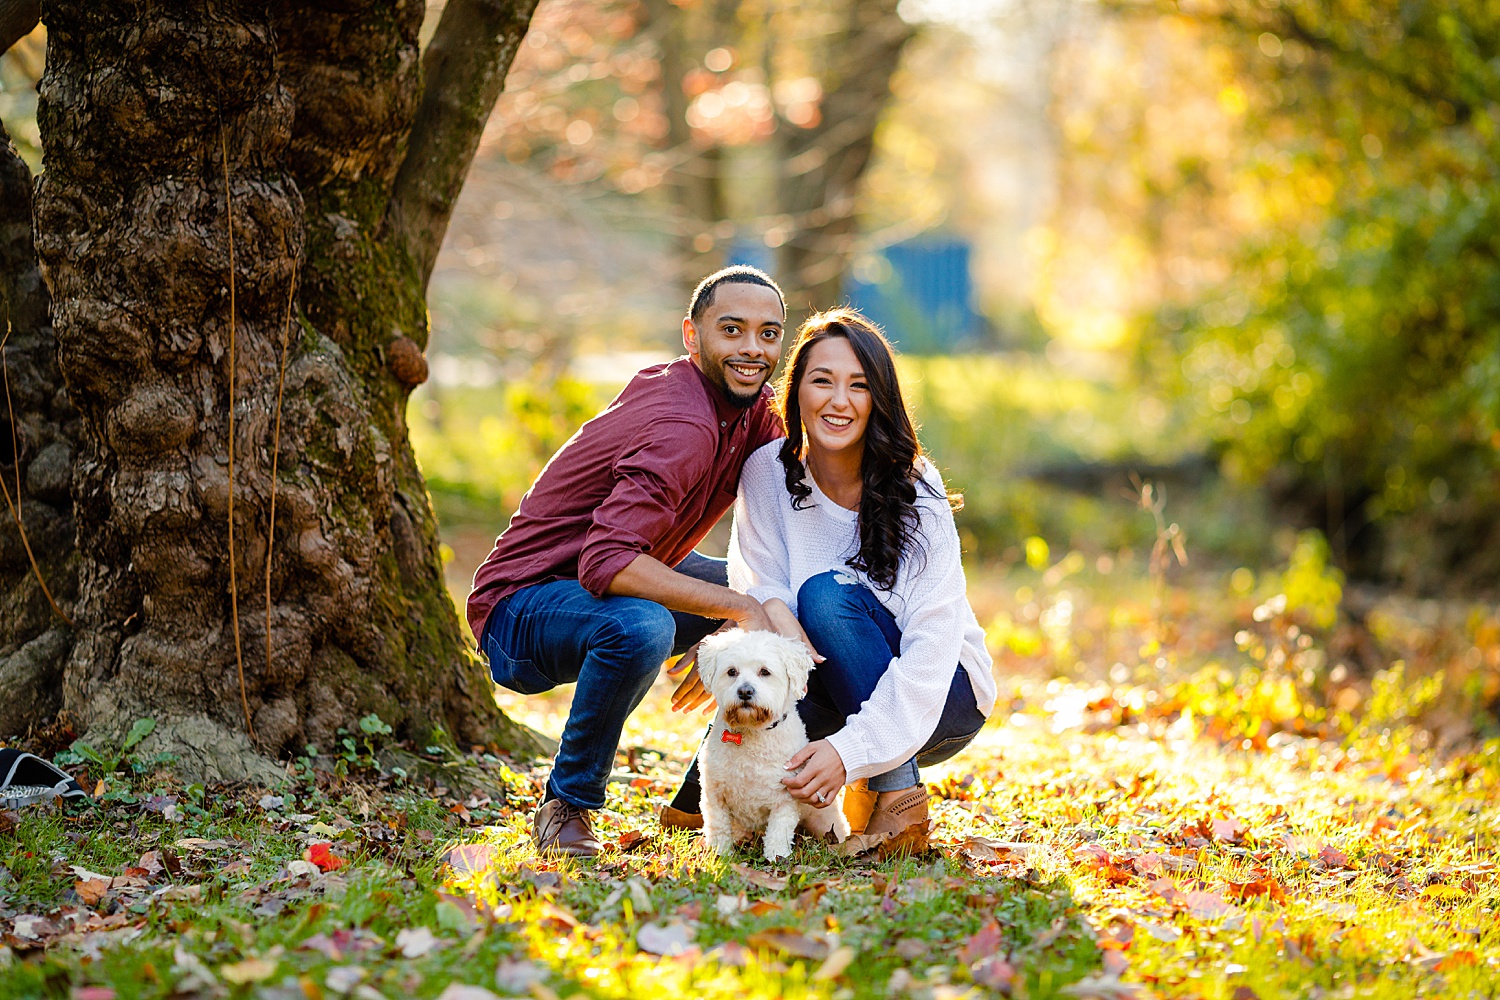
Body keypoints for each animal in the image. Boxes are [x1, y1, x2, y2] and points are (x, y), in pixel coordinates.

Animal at [696, 632, 852, 863]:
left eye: (765, 672)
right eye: (731, 671)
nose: (745, 691)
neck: (753, 732)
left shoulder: (785, 799)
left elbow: (779, 831)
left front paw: (776, 857)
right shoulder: (715, 795)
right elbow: (719, 826)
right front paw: (719, 853)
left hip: (825, 820)